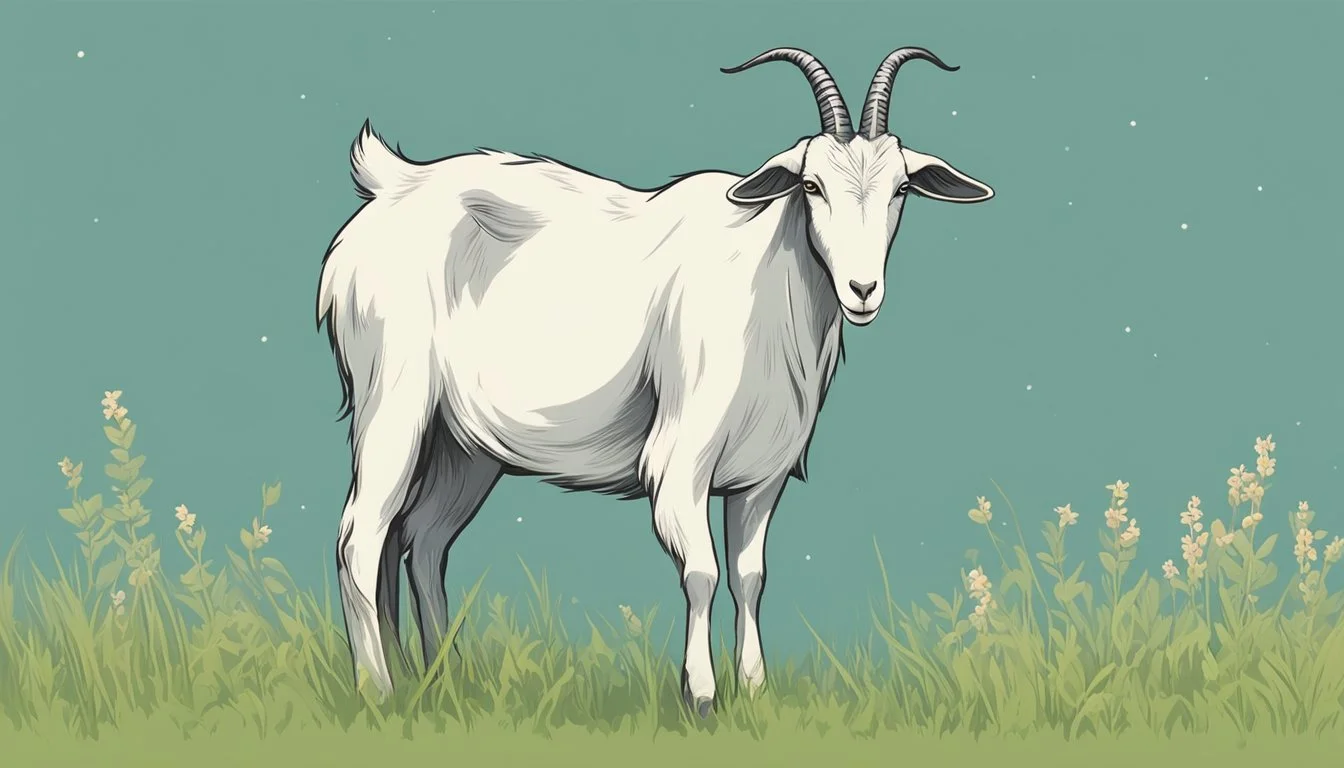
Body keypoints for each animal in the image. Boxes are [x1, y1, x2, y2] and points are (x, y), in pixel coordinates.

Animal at [316, 46, 994, 715]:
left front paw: (754, 689)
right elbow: (702, 572)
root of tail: (390, 186)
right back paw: (377, 691)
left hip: (465, 446)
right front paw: (701, 695)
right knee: (361, 536)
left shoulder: (761, 475)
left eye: (901, 187)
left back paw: (440, 680)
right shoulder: (680, 460)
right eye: (811, 184)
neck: (765, 282)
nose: (862, 289)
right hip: (394, 402)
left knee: (423, 539)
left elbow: (750, 577)